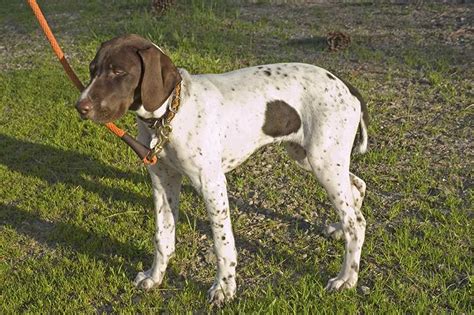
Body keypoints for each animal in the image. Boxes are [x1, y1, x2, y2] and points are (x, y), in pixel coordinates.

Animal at [76, 34, 368, 306]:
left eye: (119, 72)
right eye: (92, 69)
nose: (80, 107)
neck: (172, 114)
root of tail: (347, 87)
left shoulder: (212, 184)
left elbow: (222, 243)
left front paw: (224, 288)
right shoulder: (163, 180)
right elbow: (163, 236)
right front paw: (154, 276)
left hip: (323, 163)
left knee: (356, 223)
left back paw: (346, 279)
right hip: (309, 157)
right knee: (357, 189)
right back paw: (339, 231)